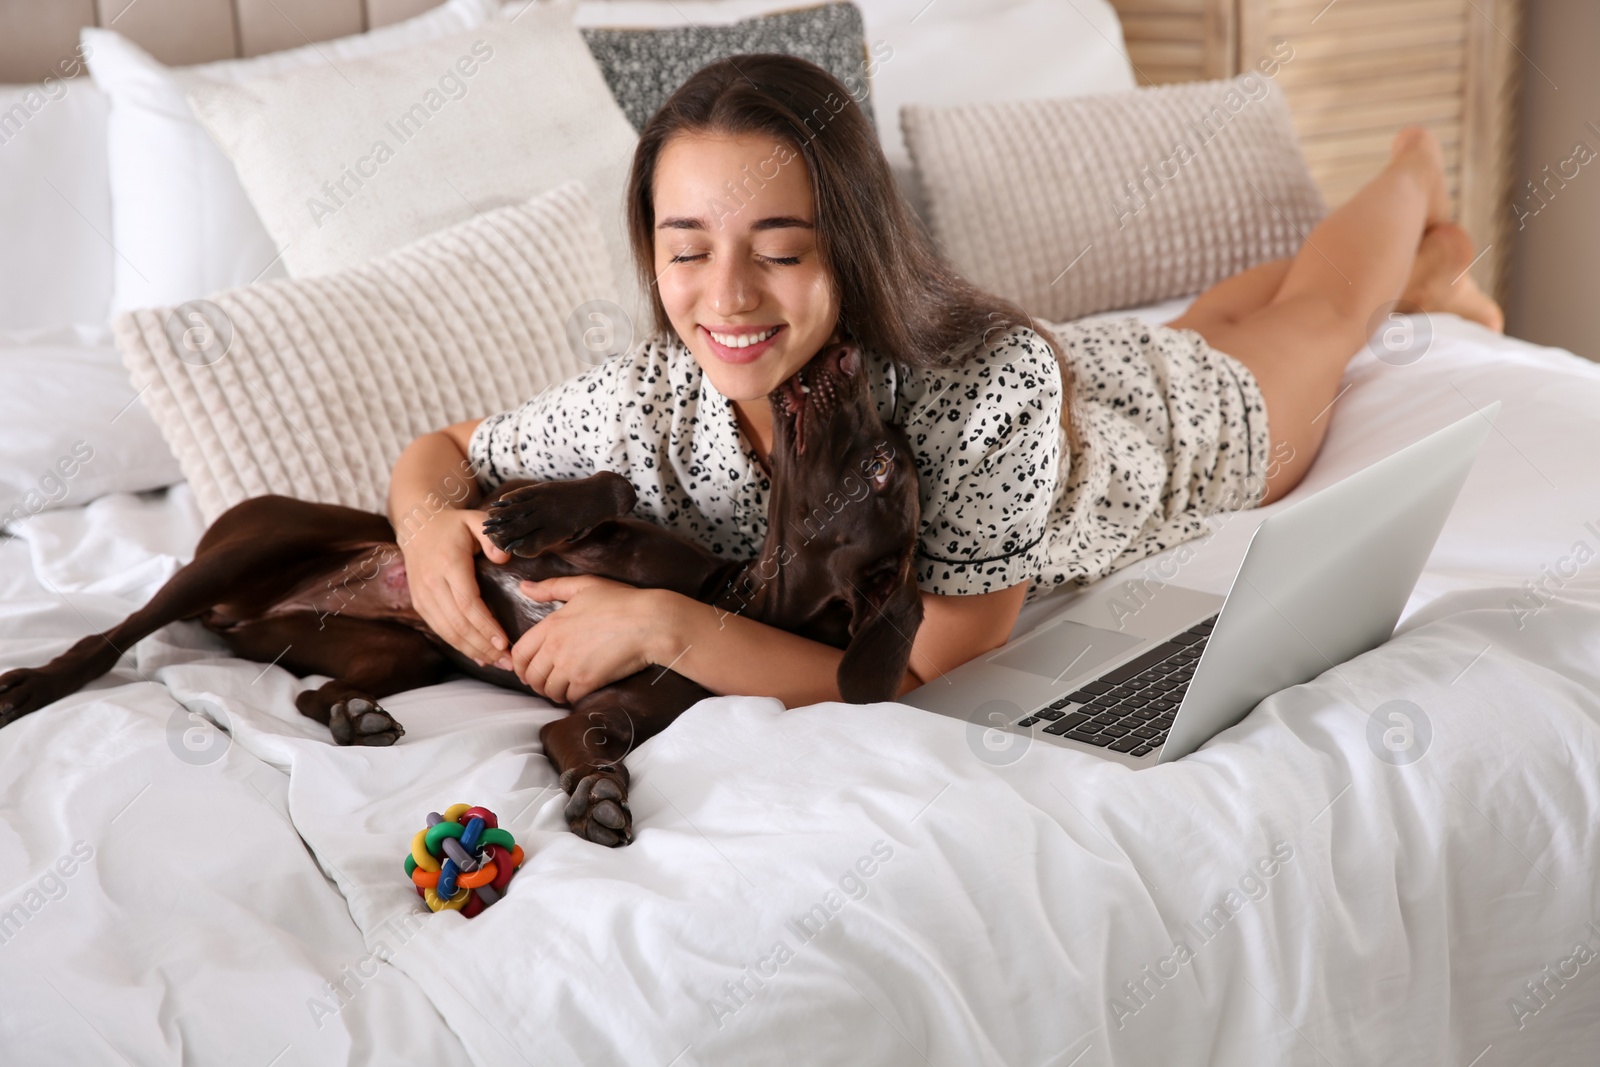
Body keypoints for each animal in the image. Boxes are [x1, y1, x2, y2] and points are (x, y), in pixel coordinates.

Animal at [0, 342, 921, 844]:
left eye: (883, 468)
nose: (845, 356)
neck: (729, 602)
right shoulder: (574, 523)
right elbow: (612, 484)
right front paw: (533, 512)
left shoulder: (587, 716)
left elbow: (595, 744)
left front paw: (600, 796)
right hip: (251, 546)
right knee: (112, 635)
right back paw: (35, 684)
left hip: (389, 649)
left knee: (311, 693)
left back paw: (353, 716)